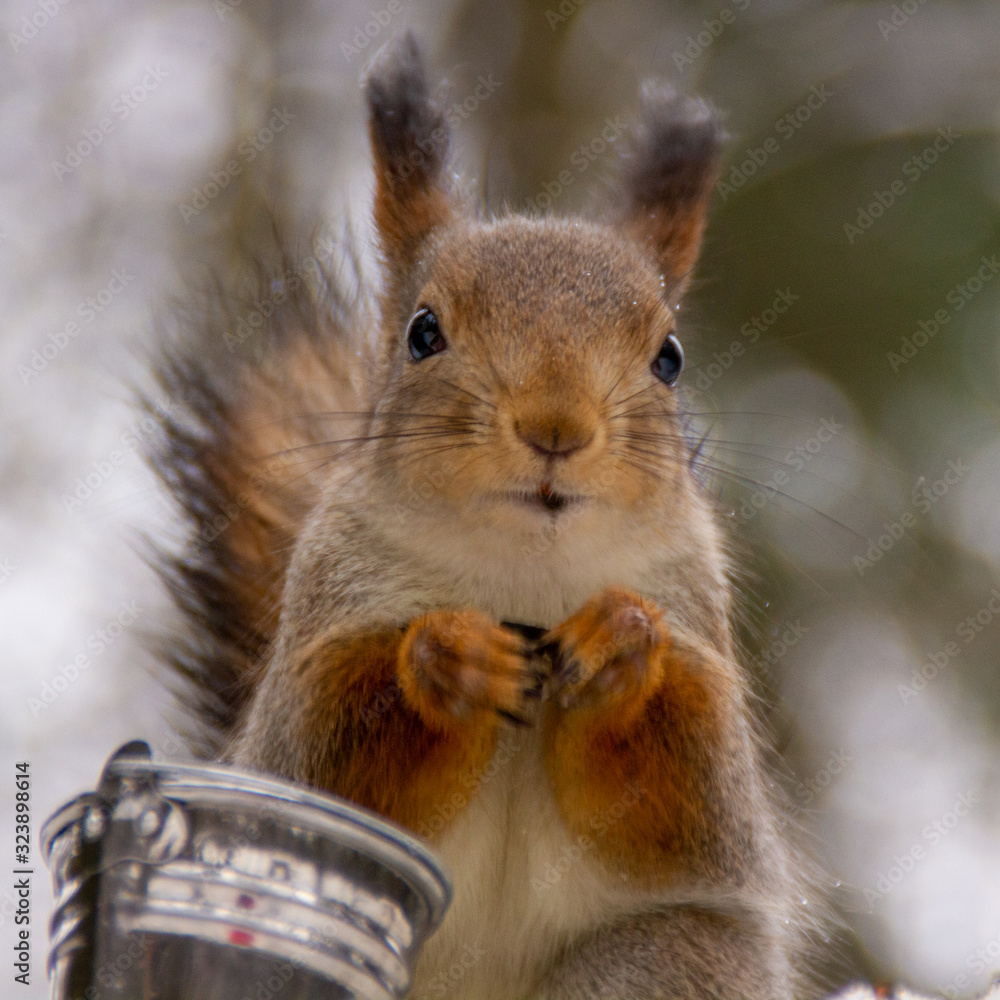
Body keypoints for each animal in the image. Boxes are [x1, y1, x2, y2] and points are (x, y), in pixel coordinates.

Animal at [149, 32, 827, 1000]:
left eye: (669, 356)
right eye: (422, 333)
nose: (556, 426)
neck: (526, 572)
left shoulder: (699, 627)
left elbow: (689, 798)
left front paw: (622, 643)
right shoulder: (323, 623)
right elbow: (328, 755)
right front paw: (450, 657)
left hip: (672, 957)